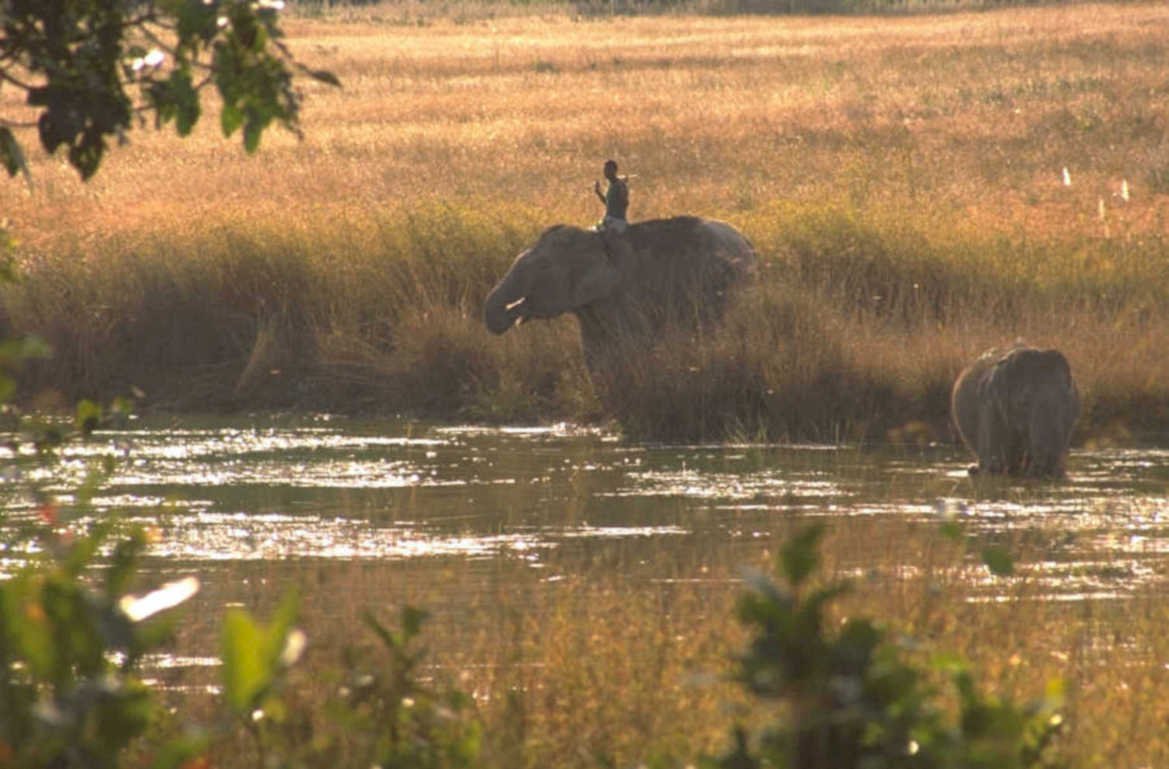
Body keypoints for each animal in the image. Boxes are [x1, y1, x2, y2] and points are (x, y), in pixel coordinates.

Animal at [483, 216, 756, 386]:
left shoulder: (624, 292)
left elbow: (630, 345)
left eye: (543, 267)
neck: (595, 241)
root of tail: (747, 242)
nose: (512, 311)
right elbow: (593, 352)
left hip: (727, 285)